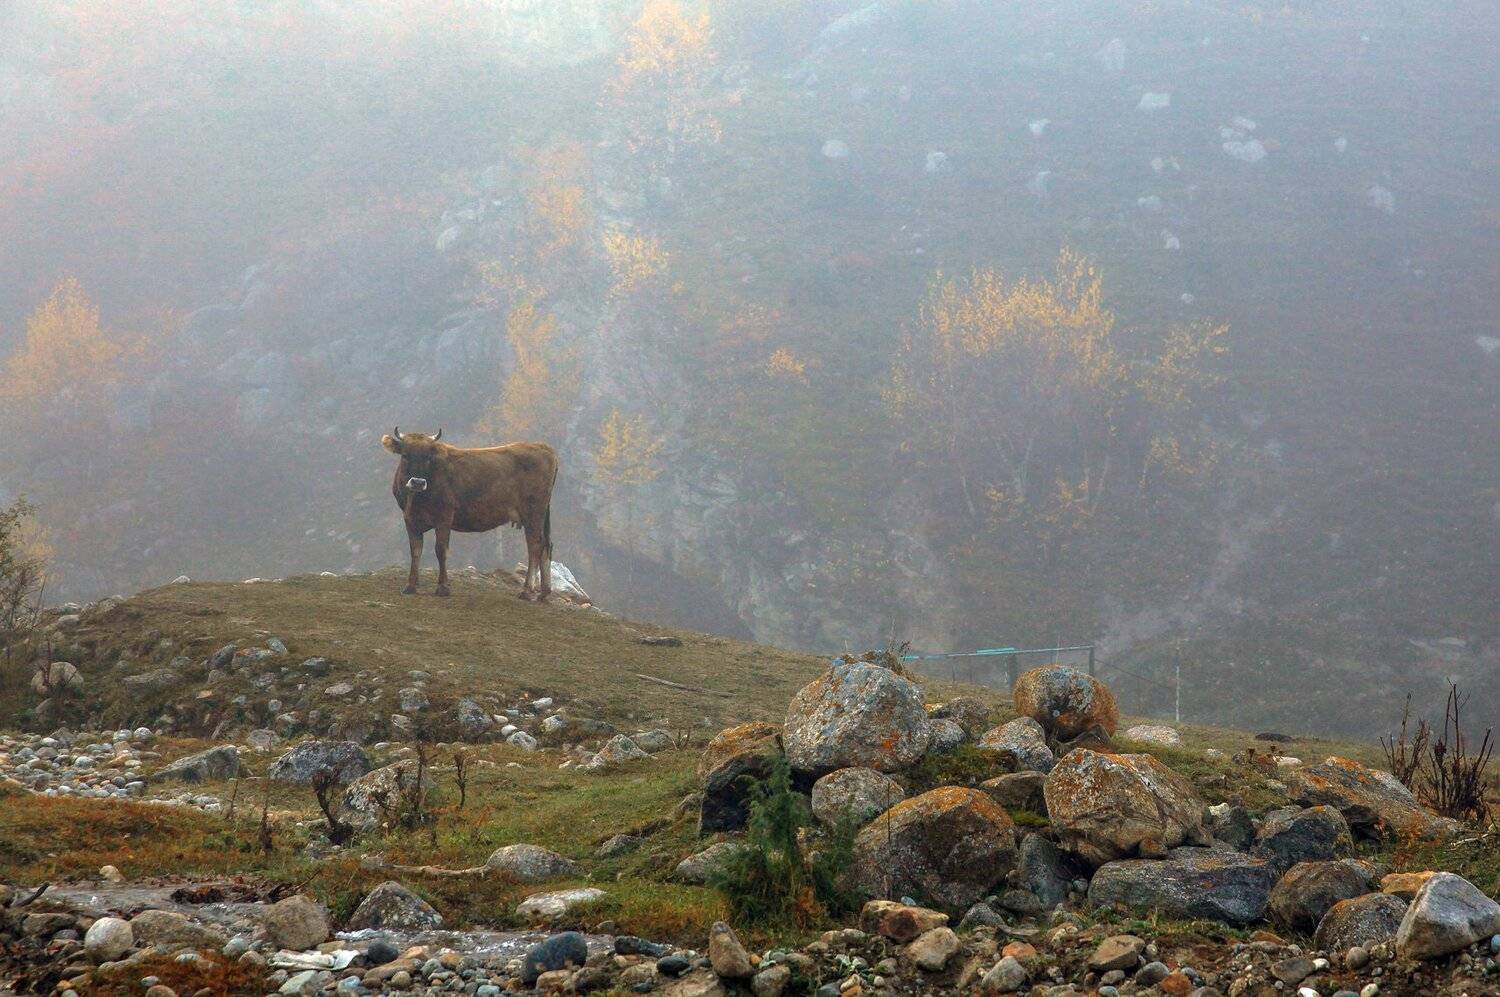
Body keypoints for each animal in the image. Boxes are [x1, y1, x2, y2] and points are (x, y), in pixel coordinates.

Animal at [380, 428, 559, 600]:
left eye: (428, 457)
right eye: (405, 455)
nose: (418, 482)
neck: (415, 499)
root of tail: (543, 447)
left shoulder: (444, 516)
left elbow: (441, 550)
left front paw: (443, 588)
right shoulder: (410, 519)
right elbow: (415, 551)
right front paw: (410, 586)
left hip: (533, 512)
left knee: (535, 544)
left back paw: (527, 590)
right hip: (542, 513)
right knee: (546, 544)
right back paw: (544, 592)